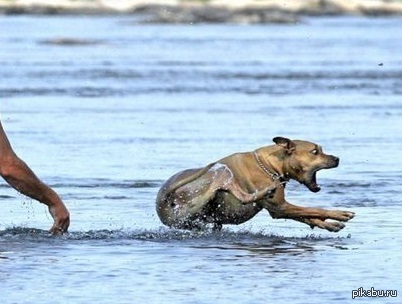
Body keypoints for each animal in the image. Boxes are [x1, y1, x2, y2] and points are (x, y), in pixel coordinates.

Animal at [155, 137, 354, 233]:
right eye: (315, 152)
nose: (337, 159)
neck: (270, 165)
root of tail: (163, 200)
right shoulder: (279, 207)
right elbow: (314, 209)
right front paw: (340, 215)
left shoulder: (281, 209)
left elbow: (308, 216)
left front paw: (330, 225)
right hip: (220, 171)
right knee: (241, 195)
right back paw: (266, 191)